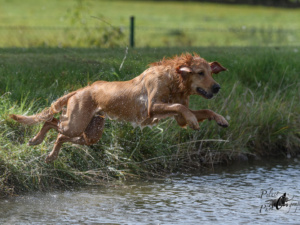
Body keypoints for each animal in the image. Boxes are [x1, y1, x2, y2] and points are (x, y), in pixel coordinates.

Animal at [10, 53, 229, 164]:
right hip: (76, 124)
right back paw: (37, 140)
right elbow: (180, 108)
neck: (174, 81)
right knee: (51, 122)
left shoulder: (178, 117)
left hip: (91, 133)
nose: (217, 87)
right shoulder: (152, 108)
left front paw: (220, 119)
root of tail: (80, 90)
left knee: (60, 135)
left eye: (211, 72)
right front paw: (193, 121)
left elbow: (199, 111)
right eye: (200, 73)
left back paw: (50, 154)